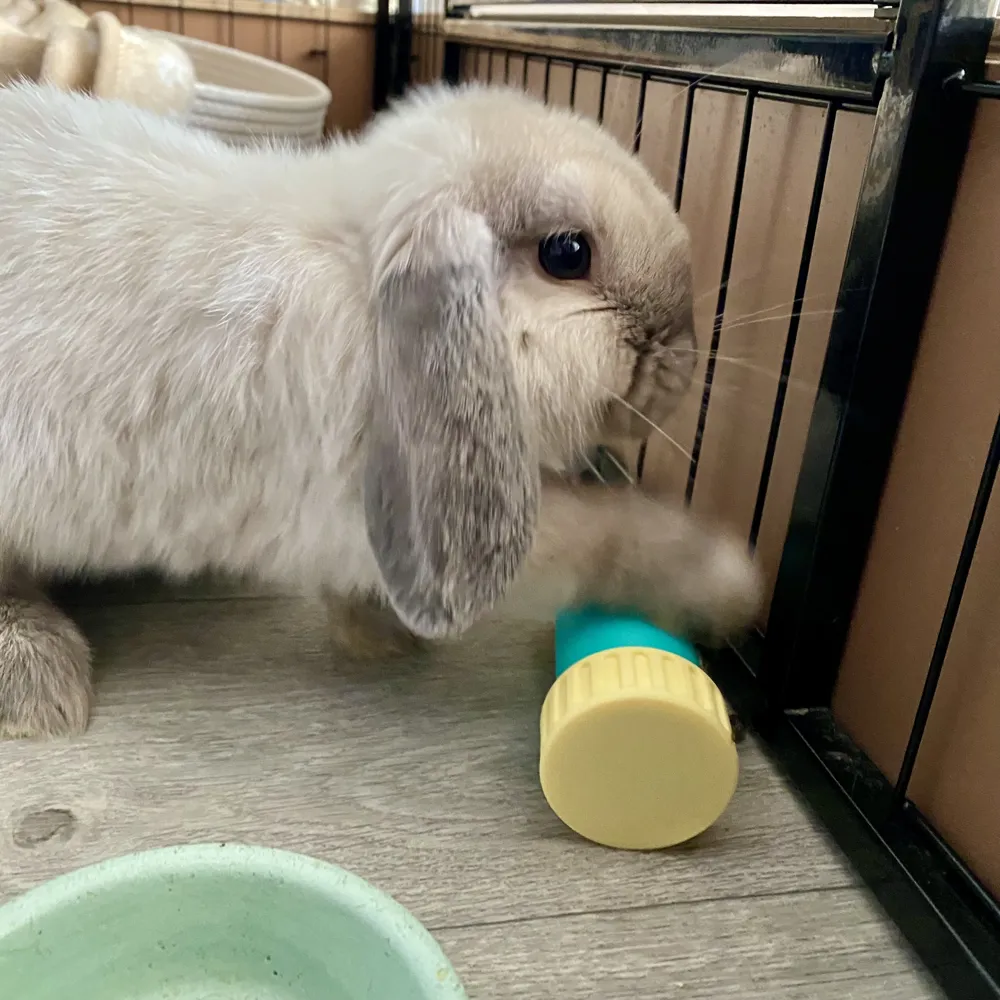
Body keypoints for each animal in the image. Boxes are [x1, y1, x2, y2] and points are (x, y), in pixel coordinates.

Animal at [0, 80, 762, 739]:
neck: (363, 283)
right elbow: (612, 535)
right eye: (567, 253)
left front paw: (383, 637)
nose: (682, 357)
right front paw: (735, 584)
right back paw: (42, 692)